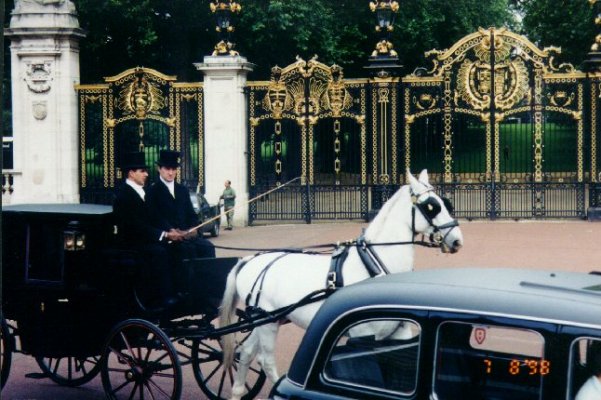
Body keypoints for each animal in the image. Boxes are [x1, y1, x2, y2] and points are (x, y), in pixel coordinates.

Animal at [218, 170, 462, 400]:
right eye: (431, 206)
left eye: (443, 202)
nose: (457, 240)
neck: (374, 265)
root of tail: (250, 259)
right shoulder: (362, 337)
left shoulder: (400, 333)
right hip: (267, 322)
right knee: (265, 360)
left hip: (268, 320)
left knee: (246, 352)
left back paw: (237, 392)